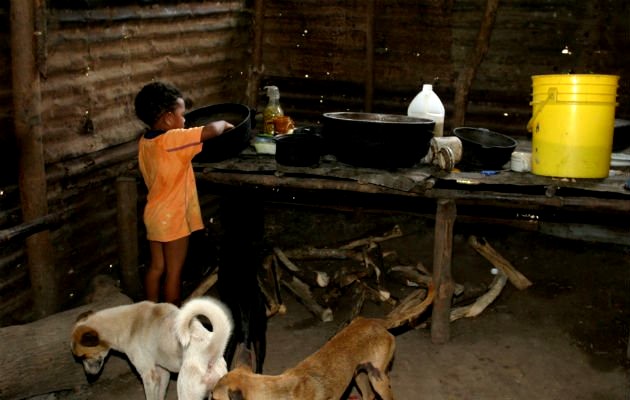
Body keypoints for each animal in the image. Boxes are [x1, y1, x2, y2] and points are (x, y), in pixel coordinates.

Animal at [71, 296, 233, 398]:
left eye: (83, 356)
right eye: (79, 358)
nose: (89, 377)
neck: (129, 325)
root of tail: (209, 352)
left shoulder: (149, 376)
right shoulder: (163, 373)